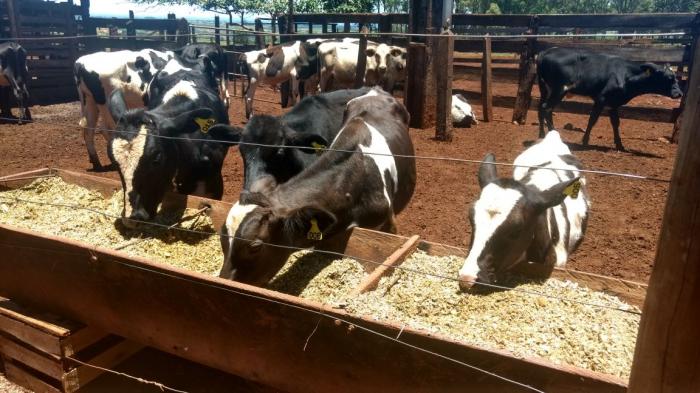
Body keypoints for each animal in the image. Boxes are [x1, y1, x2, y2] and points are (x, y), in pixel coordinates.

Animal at [536, 46, 684, 150]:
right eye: (668, 78)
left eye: (676, 77)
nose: (679, 94)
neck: (625, 74)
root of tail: (546, 51)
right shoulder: (601, 98)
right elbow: (593, 119)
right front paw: (585, 141)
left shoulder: (614, 103)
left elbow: (615, 123)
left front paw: (620, 145)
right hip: (559, 90)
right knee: (547, 108)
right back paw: (553, 133)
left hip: (546, 90)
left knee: (540, 108)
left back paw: (542, 134)